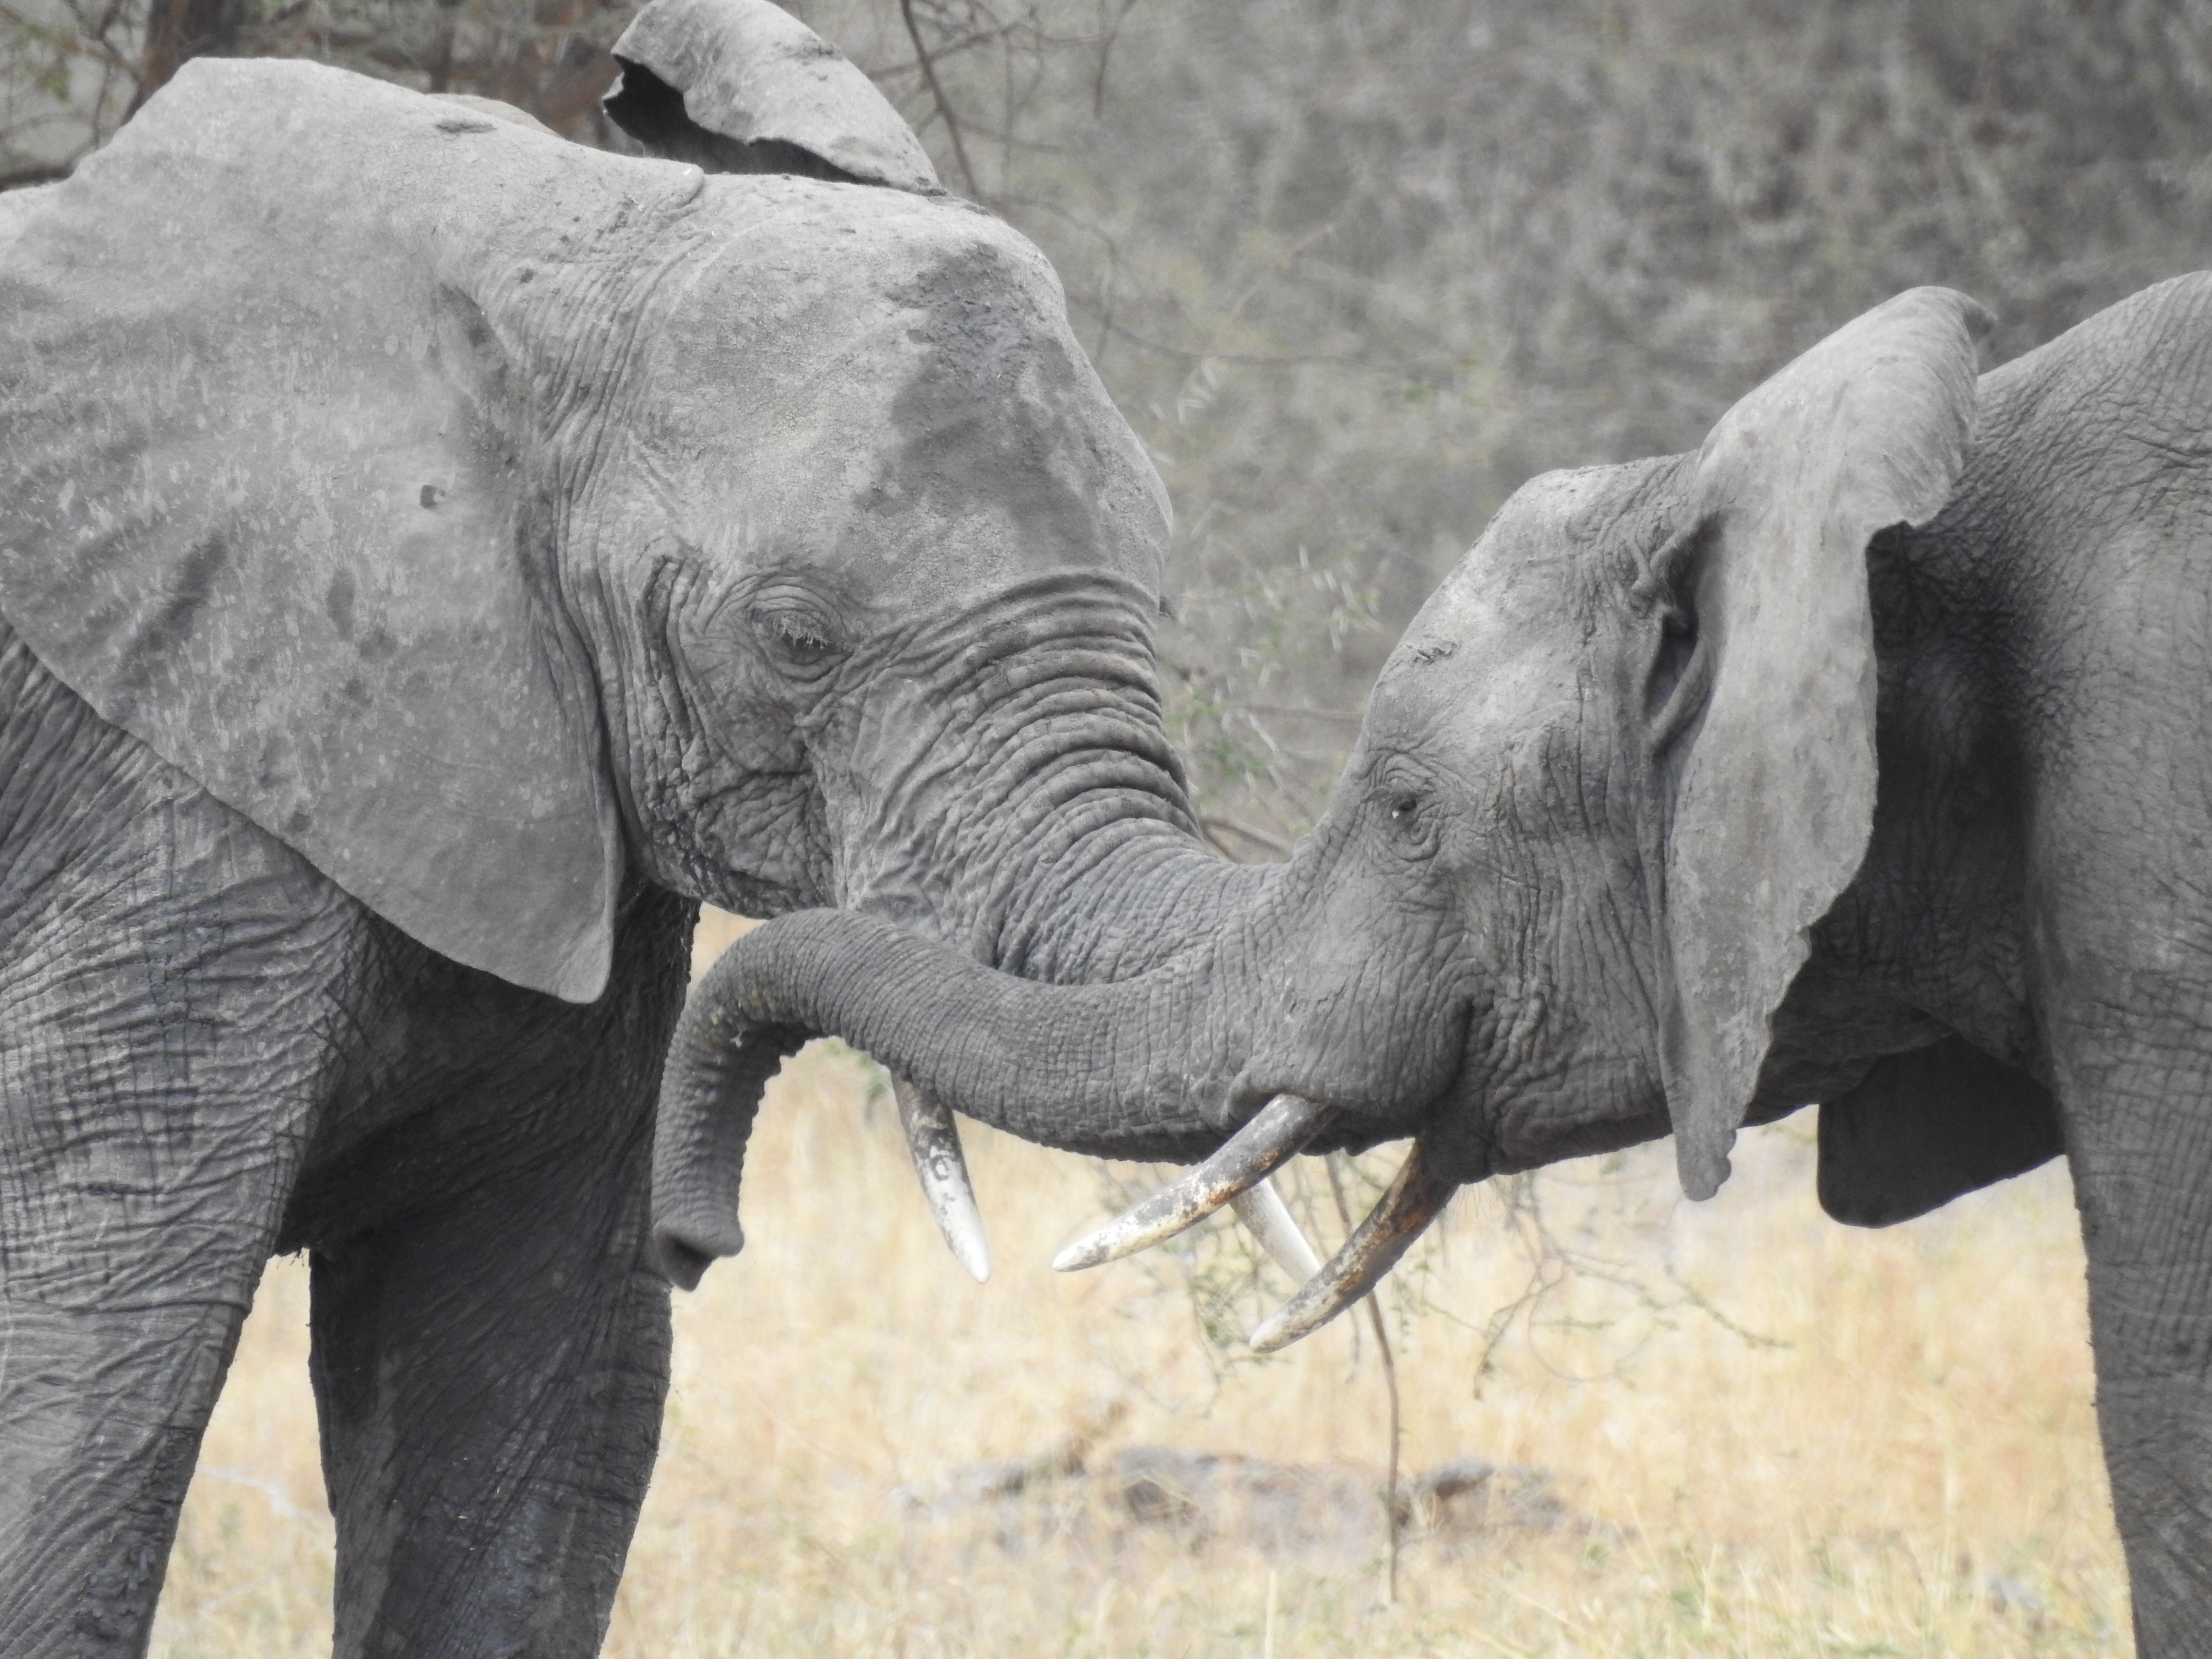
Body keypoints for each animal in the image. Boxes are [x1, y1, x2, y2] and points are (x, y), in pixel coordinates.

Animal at [0, 0, 1278, 1649]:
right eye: (797, 638)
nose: (701, 1238)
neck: (544, 254)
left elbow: (530, 1381)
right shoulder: (171, 794)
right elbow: (93, 1359)